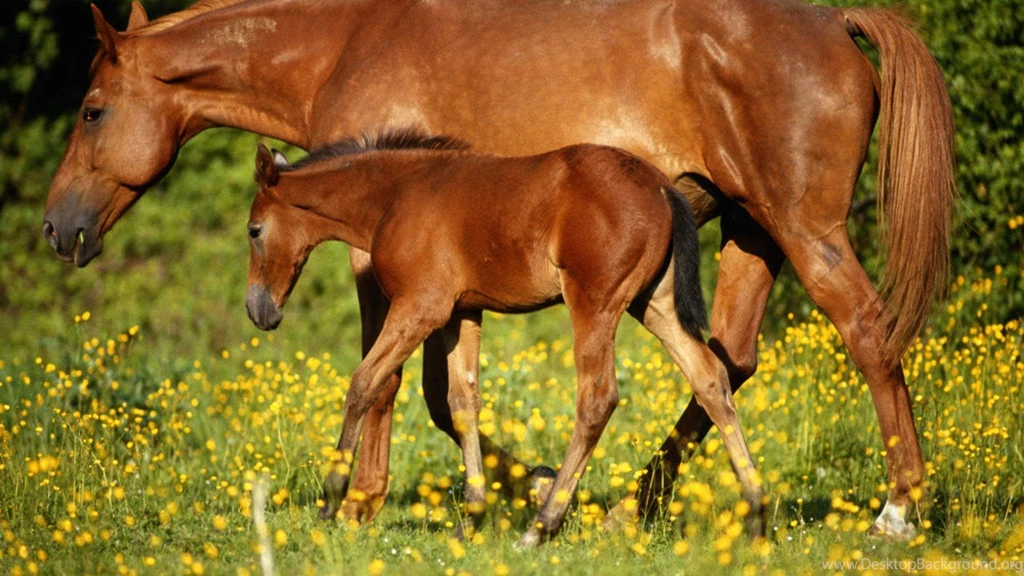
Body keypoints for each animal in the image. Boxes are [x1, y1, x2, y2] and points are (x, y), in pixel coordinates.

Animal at [243, 132, 765, 547]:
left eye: (254, 230)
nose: (259, 311)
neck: (396, 195)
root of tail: (661, 186)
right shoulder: (461, 313)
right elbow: (462, 402)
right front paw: (471, 516)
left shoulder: (419, 306)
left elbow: (363, 382)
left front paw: (331, 500)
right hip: (653, 304)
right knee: (710, 378)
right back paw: (757, 513)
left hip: (594, 304)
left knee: (597, 399)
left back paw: (541, 526)